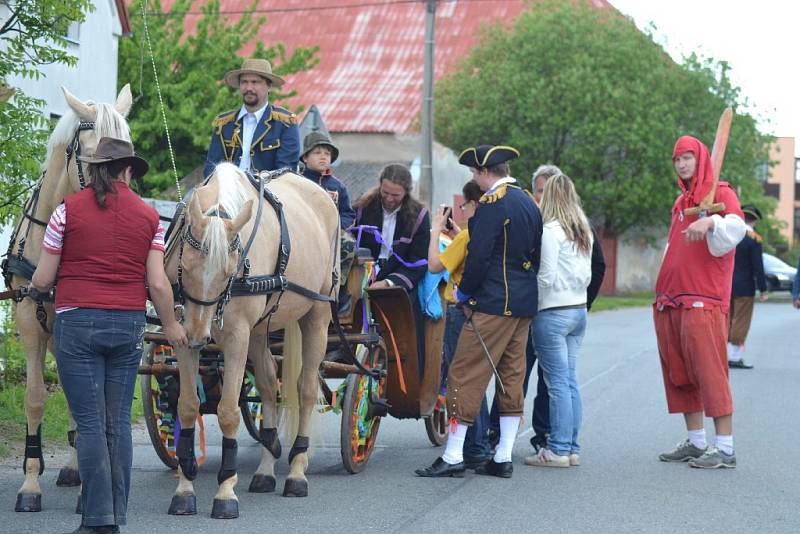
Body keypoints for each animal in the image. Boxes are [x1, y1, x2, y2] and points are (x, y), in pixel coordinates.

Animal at [162, 163, 338, 520]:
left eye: (228, 271)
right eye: (184, 265)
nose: (199, 335)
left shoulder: (236, 338)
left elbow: (229, 410)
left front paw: (225, 491)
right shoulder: (182, 336)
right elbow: (187, 406)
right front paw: (184, 490)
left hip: (317, 315)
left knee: (306, 388)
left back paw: (296, 471)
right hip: (259, 332)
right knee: (270, 386)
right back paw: (266, 468)